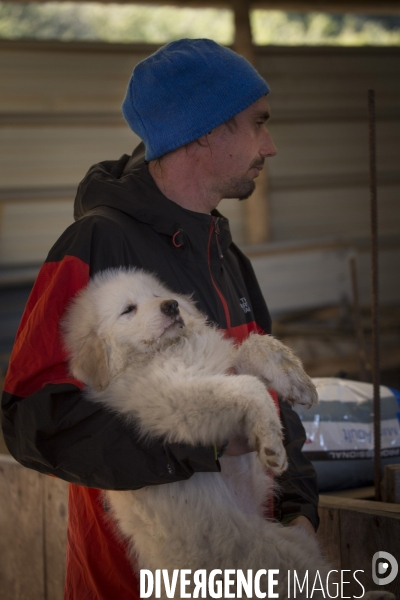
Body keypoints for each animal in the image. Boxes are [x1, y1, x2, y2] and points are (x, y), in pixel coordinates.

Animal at [62, 270, 330, 596]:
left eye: (155, 295)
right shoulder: (182, 403)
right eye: (128, 310)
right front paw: (272, 445)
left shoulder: (221, 368)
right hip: (278, 558)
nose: (171, 306)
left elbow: (257, 344)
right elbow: (249, 387)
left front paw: (298, 383)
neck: (167, 351)